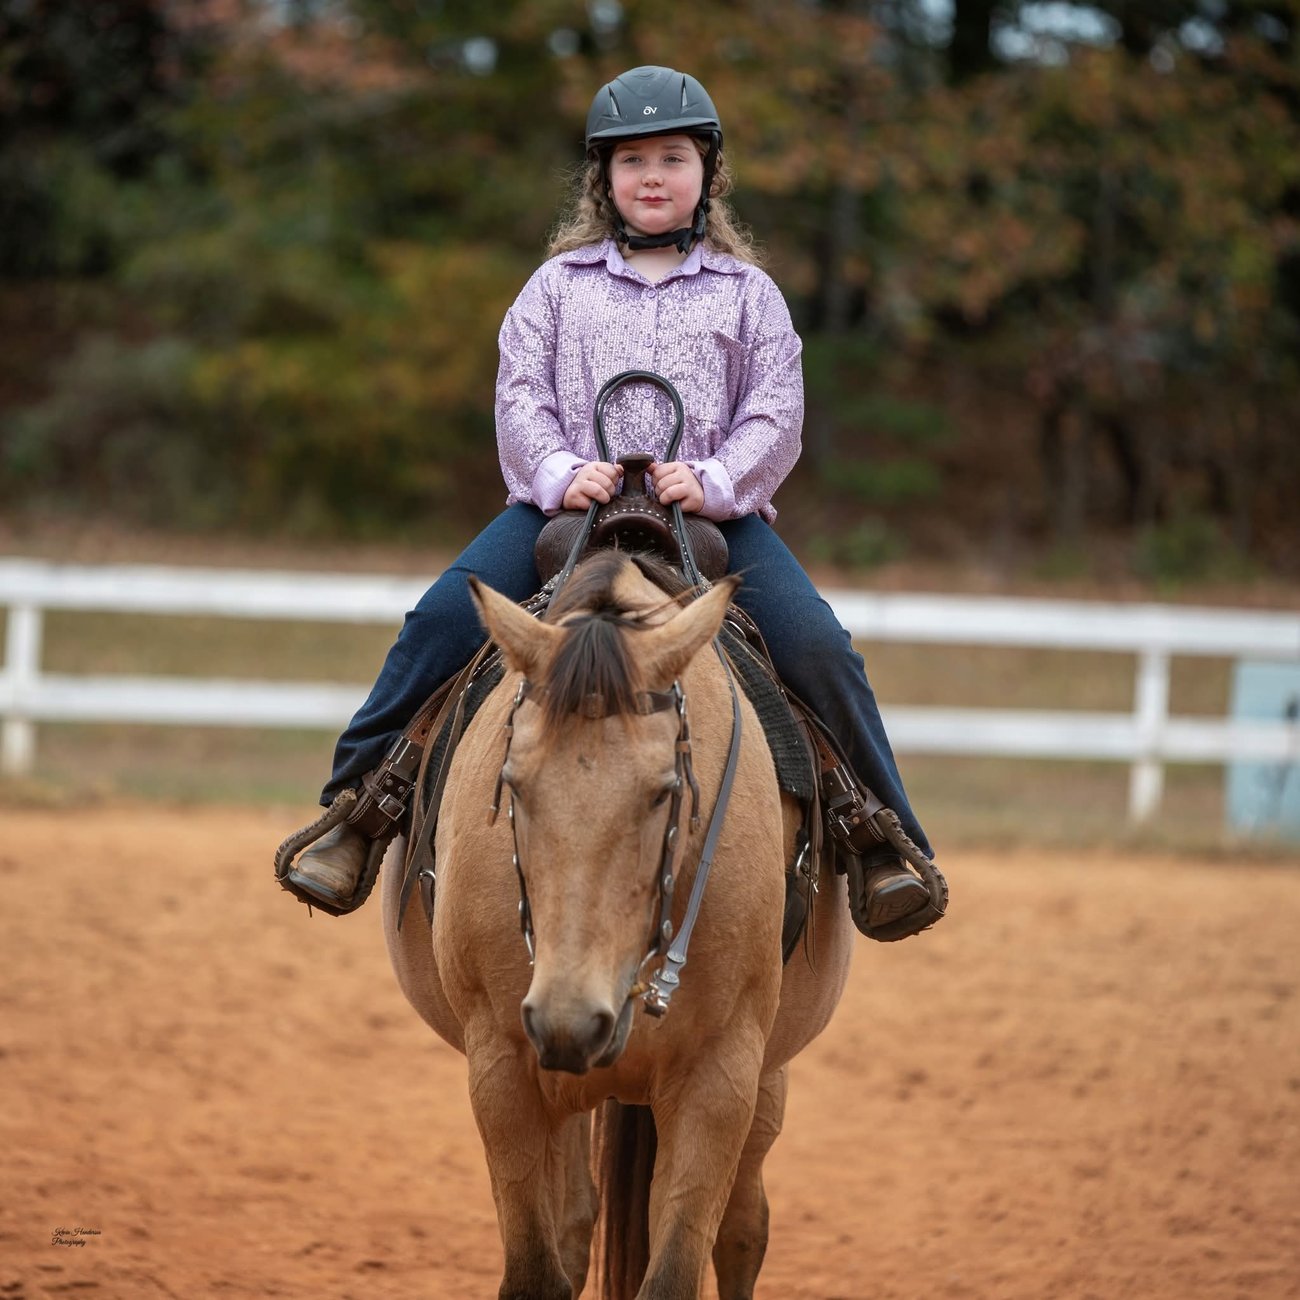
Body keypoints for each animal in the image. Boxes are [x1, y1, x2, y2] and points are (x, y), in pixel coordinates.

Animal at [382, 549, 855, 1300]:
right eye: (512, 784)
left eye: (665, 791)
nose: (573, 1017)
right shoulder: (502, 1065)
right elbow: (536, 1270)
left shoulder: (721, 1076)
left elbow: (677, 1270)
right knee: (578, 1221)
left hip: (765, 1075)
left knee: (743, 1228)